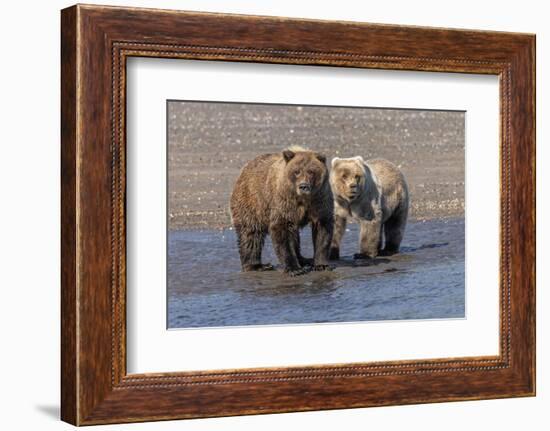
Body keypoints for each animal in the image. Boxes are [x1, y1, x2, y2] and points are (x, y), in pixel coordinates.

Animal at [231, 148, 334, 276]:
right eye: (296, 171)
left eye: (311, 171)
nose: (303, 186)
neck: (303, 199)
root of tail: (244, 169)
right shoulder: (285, 201)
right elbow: (282, 230)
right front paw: (294, 269)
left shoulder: (319, 199)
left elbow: (322, 228)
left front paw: (322, 265)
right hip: (253, 201)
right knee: (251, 232)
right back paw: (257, 265)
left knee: (294, 235)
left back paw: (304, 259)